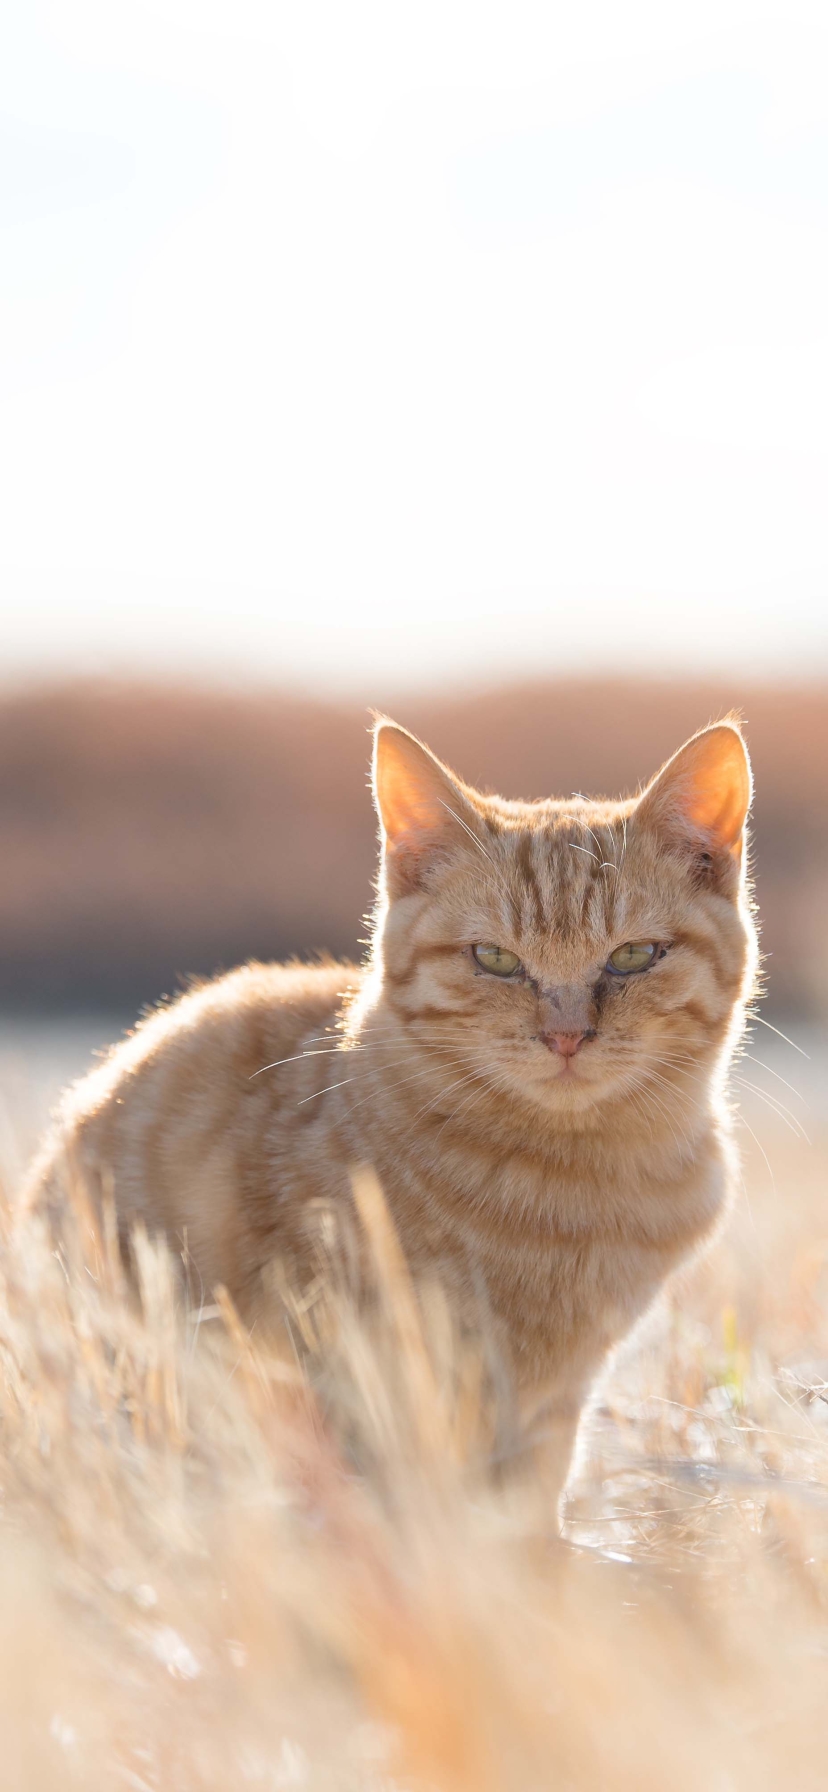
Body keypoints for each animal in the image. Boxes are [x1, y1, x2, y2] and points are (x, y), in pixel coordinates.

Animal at [27, 720, 756, 1505]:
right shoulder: (365, 1366)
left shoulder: (554, 1400)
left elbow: (526, 1507)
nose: (566, 1036)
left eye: (634, 956)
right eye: (495, 959)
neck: (576, 1182)